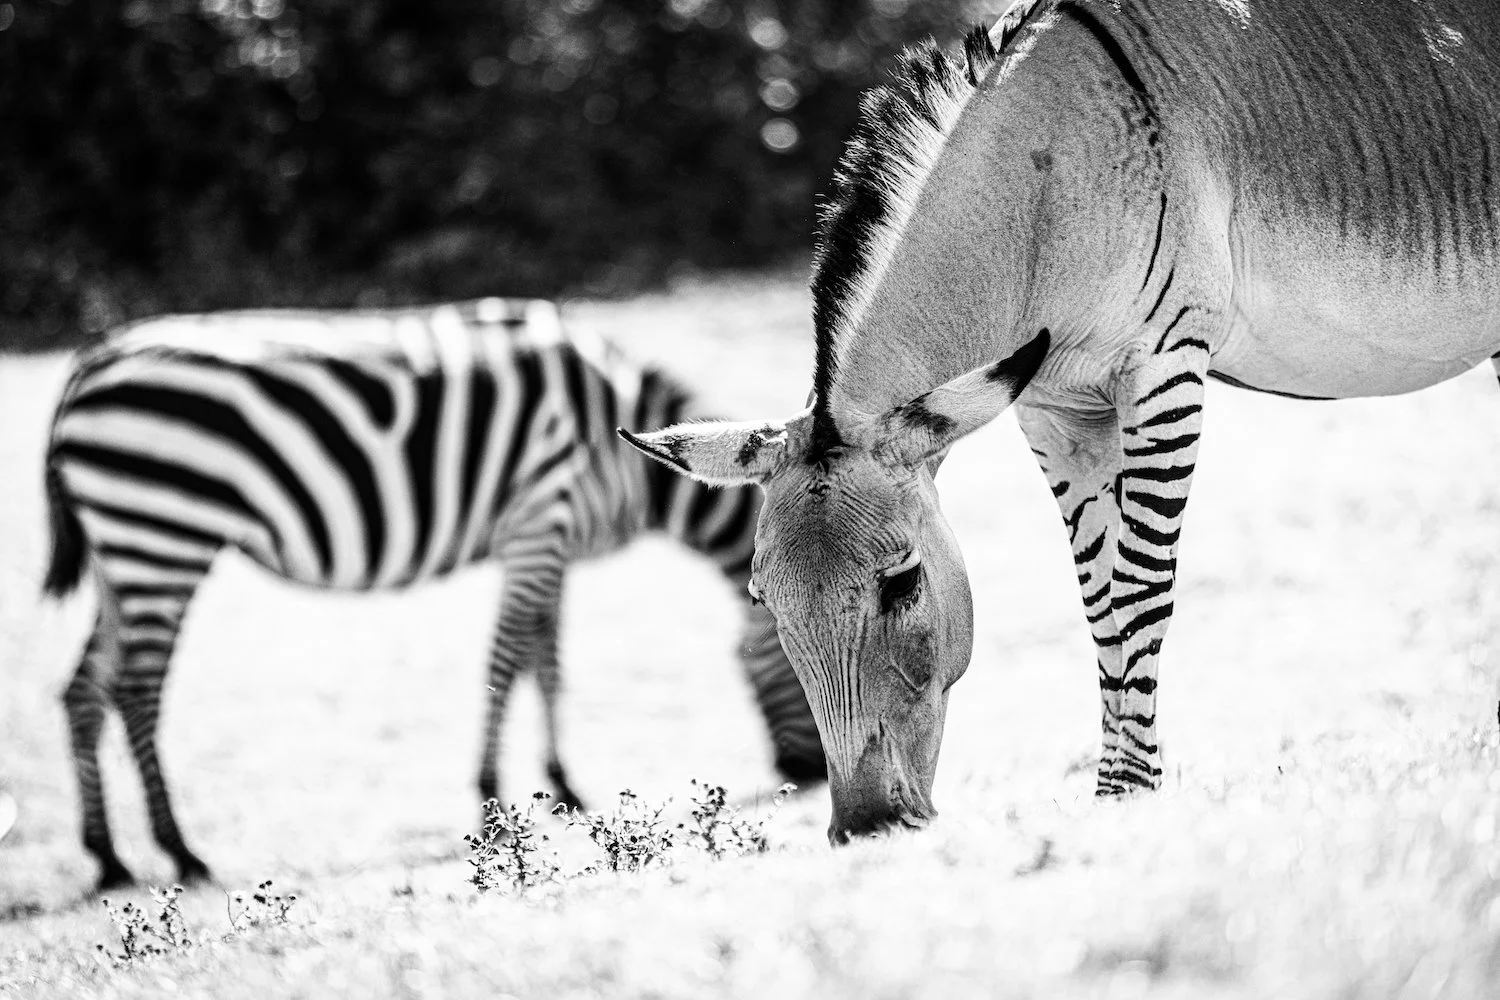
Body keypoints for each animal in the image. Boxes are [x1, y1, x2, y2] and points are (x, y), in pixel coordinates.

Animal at [44, 298, 824, 888]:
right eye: (797, 657)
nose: (813, 774)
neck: (618, 444)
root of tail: (89, 360)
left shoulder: (551, 540)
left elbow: (547, 658)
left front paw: (564, 787)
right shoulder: (540, 513)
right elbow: (509, 657)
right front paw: (491, 801)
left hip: (126, 550)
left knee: (84, 686)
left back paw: (109, 857)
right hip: (162, 539)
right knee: (136, 689)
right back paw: (180, 851)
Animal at [621, 0, 1500, 842]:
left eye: (903, 583)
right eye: (764, 601)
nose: (866, 827)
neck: (1045, 190)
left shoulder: (1163, 365)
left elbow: (1141, 588)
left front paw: (1131, 793)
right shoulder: (1053, 409)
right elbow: (1100, 598)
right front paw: (1113, 787)